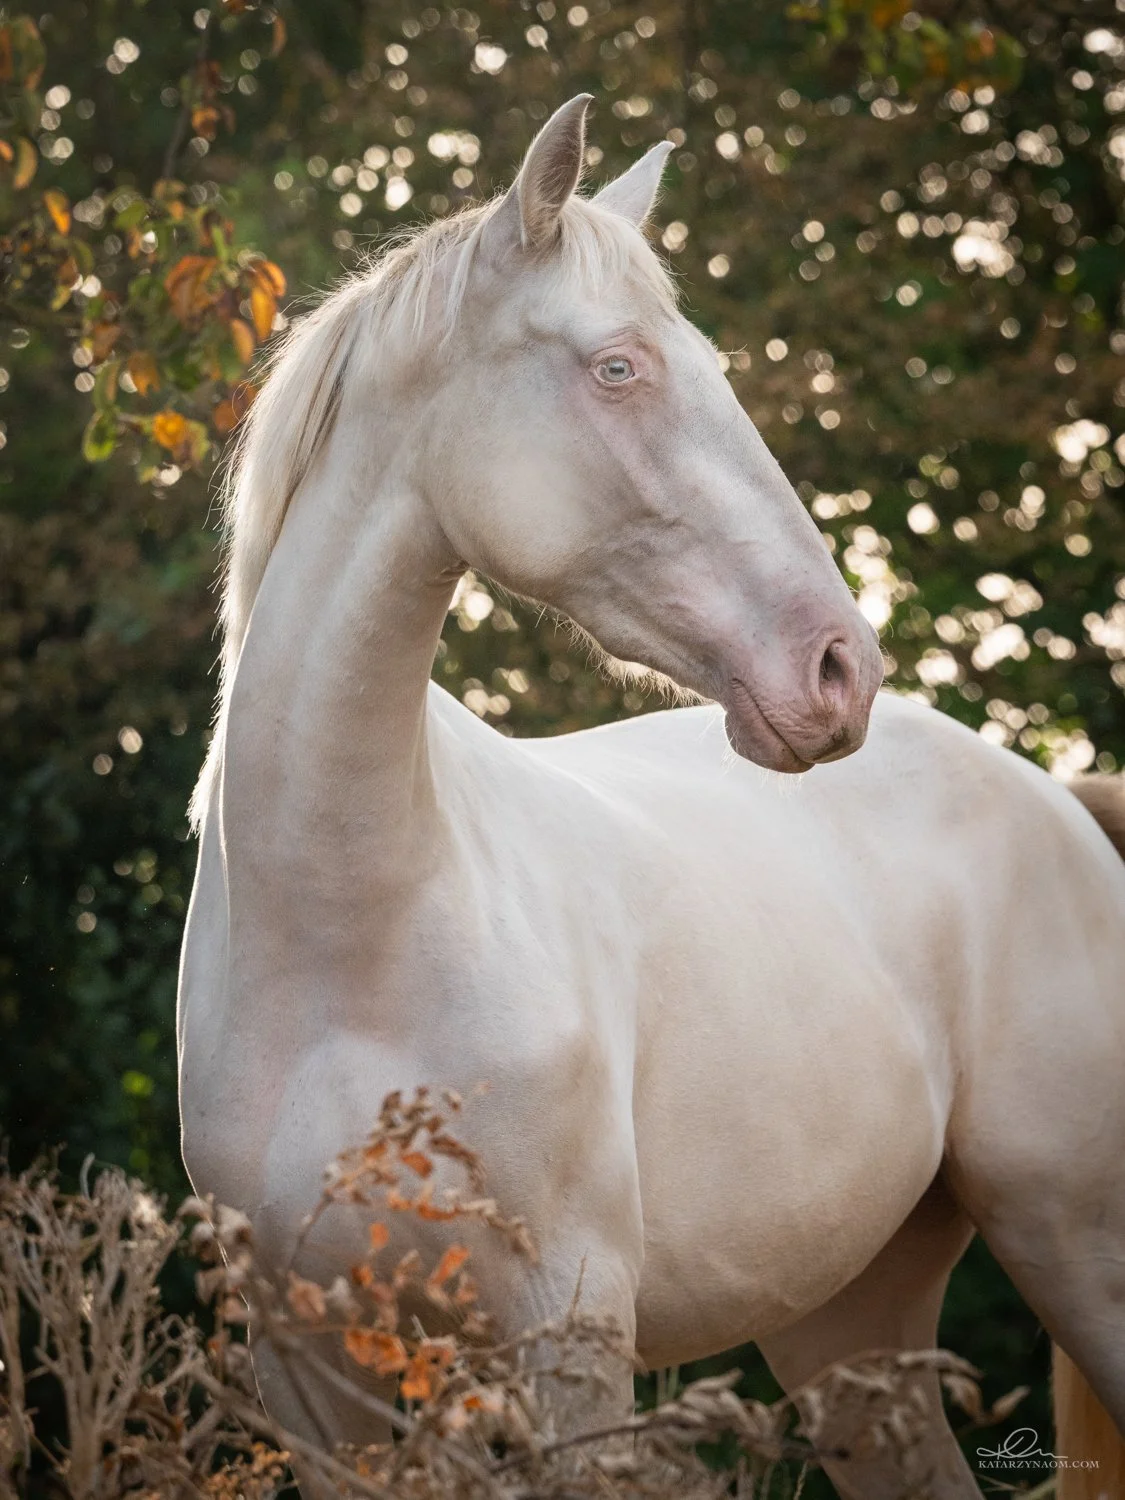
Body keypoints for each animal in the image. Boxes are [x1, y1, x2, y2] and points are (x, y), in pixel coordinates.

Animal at [178, 95, 1125, 1499]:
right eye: (618, 367)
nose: (837, 667)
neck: (348, 948)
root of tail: (1054, 799)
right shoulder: (316, 1382)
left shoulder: (567, 1343)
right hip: (855, 1331)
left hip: (1079, 1248)